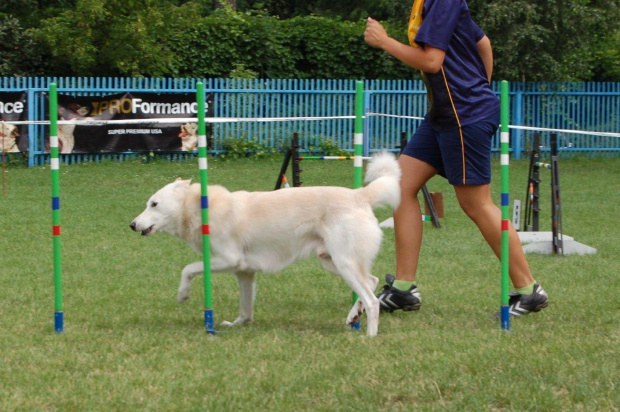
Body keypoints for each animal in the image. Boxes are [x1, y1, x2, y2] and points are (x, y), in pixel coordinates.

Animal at [131, 153, 402, 336]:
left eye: (154, 204)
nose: (132, 225)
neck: (199, 208)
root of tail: (360, 195)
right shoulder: (244, 273)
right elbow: (245, 309)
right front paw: (237, 325)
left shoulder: (228, 260)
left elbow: (188, 268)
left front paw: (183, 294)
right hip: (333, 262)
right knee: (372, 281)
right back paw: (353, 316)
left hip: (344, 263)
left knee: (372, 300)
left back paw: (369, 336)